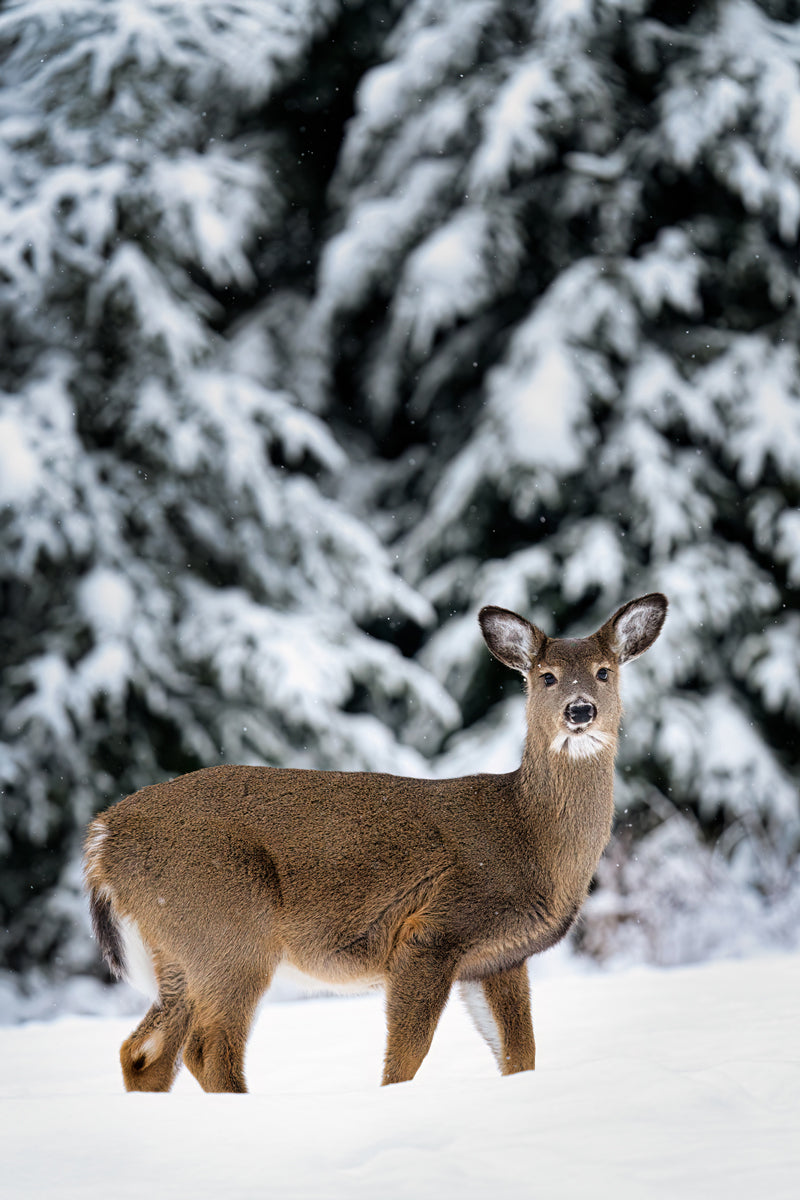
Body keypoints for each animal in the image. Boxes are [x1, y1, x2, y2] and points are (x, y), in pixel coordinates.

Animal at [82, 595, 671, 1094]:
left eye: (605, 671)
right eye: (545, 677)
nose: (580, 710)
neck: (529, 836)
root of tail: (102, 836)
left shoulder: (498, 958)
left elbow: (518, 1055)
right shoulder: (433, 929)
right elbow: (407, 1056)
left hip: (179, 949)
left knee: (143, 1053)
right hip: (228, 926)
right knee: (206, 1052)